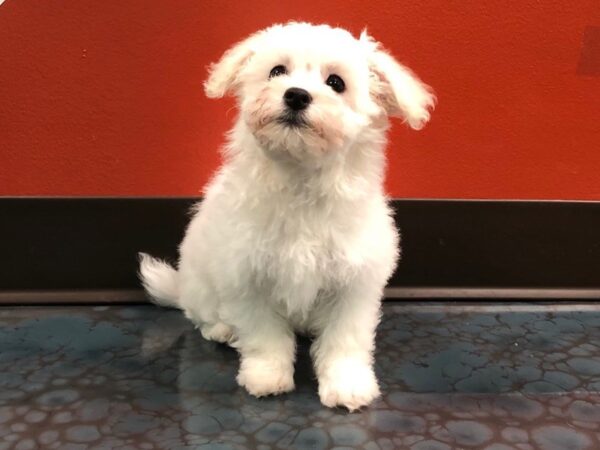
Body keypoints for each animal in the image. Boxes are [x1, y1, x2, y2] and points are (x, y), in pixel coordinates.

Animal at [139, 22, 434, 412]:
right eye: (277, 71)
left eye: (336, 83)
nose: (296, 95)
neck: (300, 178)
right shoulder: (248, 279)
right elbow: (264, 336)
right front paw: (266, 376)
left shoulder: (353, 283)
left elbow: (344, 340)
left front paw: (347, 385)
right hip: (201, 283)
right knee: (200, 314)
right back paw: (223, 328)